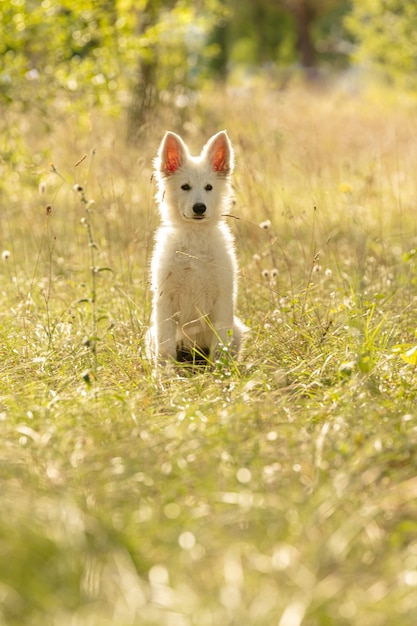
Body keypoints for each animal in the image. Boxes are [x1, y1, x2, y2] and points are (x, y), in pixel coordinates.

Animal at [145, 130, 245, 366]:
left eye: (209, 187)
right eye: (185, 187)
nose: (199, 208)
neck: (194, 240)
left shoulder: (222, 298)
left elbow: (220, 346)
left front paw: (221, 371)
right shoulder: (165, 300)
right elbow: (165, 350)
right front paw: (164, 374)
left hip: (237, 330)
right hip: (151, 333)